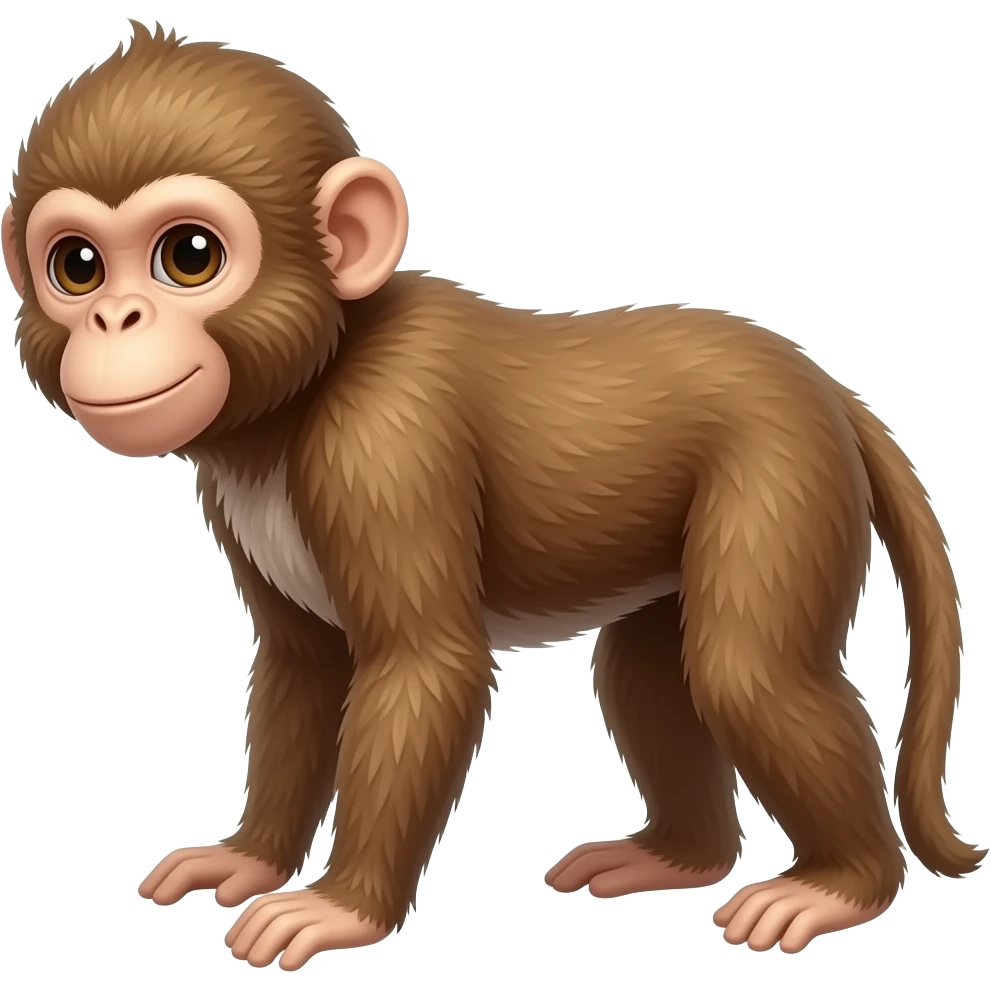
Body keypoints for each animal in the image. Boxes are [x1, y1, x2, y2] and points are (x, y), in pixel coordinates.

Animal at [3, 21, 982, 971]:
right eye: (78, 267)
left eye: (189, 256)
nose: (115, 318)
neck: (302, 392)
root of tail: (823, 386)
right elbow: (303, 666)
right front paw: (249, 857)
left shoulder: (386, 442)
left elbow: (423, 665)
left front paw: (340, 906)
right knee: (646, 670)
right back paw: (680, 856)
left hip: (783, 472)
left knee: (747, 670)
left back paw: (843, 882)